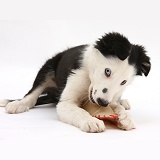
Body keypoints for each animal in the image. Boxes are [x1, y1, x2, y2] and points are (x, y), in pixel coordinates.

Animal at [0, 31, 150, 132]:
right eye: (107, 71)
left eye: (123, 82)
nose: (103, 103)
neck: (89, 77)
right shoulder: (66, 102)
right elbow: (79, 111)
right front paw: (90, 121)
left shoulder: (111, 98)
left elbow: (116, 106)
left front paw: (125, 117)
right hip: (48, 67)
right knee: (32, 94)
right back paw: (19, 103)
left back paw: (123, 102)